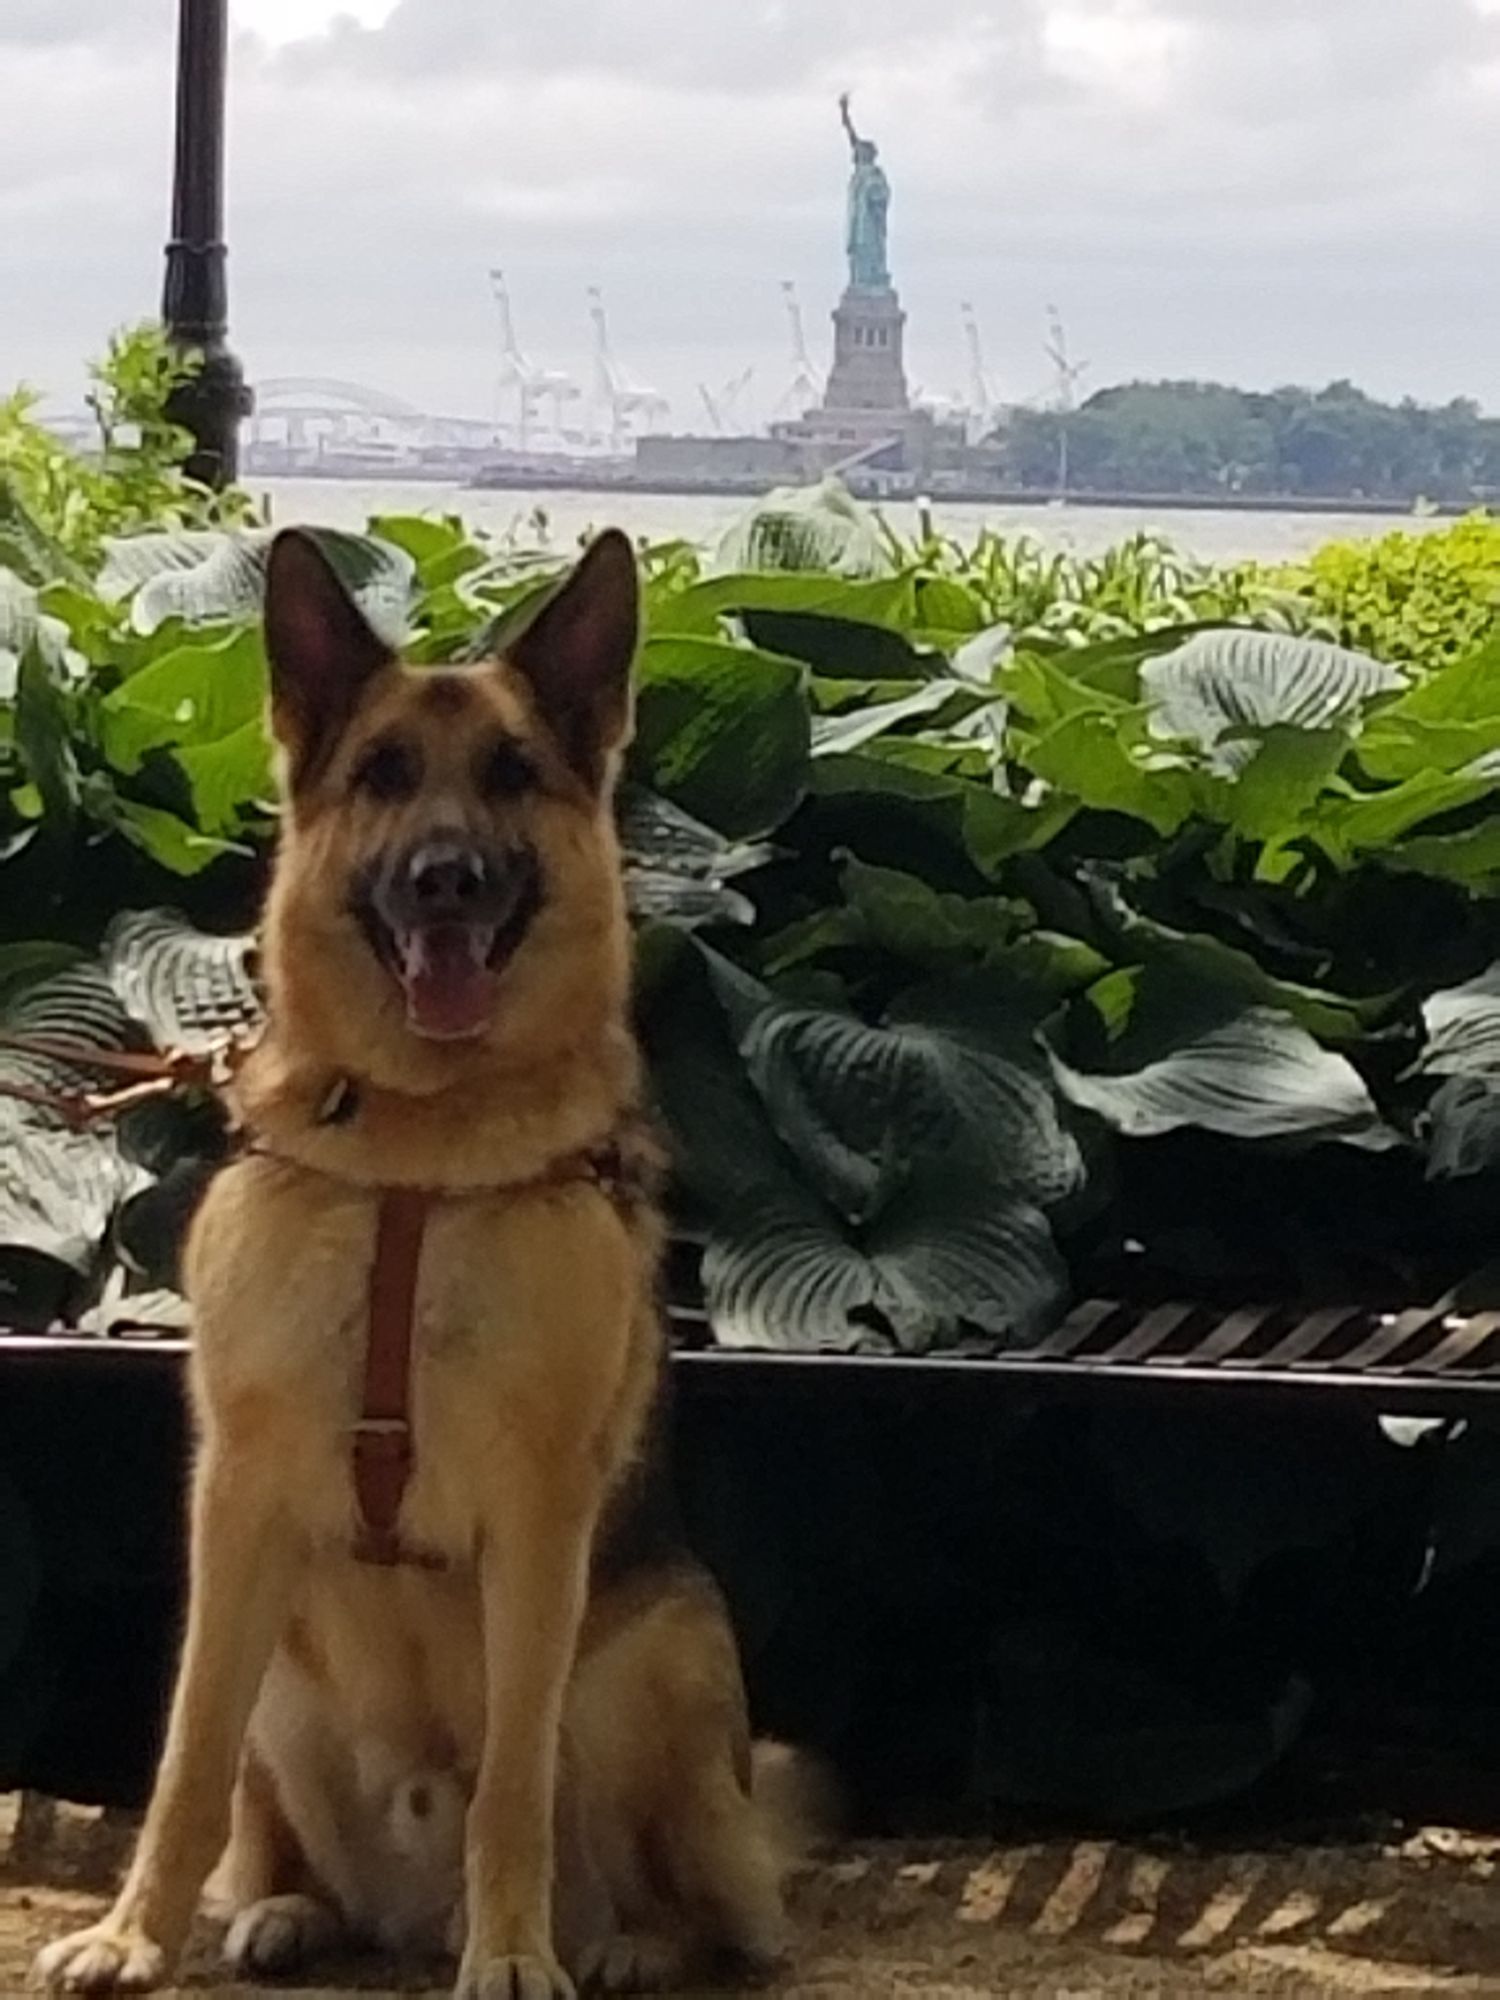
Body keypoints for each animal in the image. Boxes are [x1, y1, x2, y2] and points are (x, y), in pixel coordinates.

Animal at [35, 524, 804, 1992]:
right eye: (385, 774)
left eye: (509, 775)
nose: (446, 875)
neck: (415, 1148)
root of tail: (407, 1901)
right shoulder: (237, 1501)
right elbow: (184, 1762)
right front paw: (133, 1933)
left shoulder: (541, 1518)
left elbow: (512, 1777)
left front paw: (513, 1953)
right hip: (283, 1678)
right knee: (270, 1820)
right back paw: (287, 1909)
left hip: (662, 1668)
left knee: (711, 1899)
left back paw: (618, 1942)